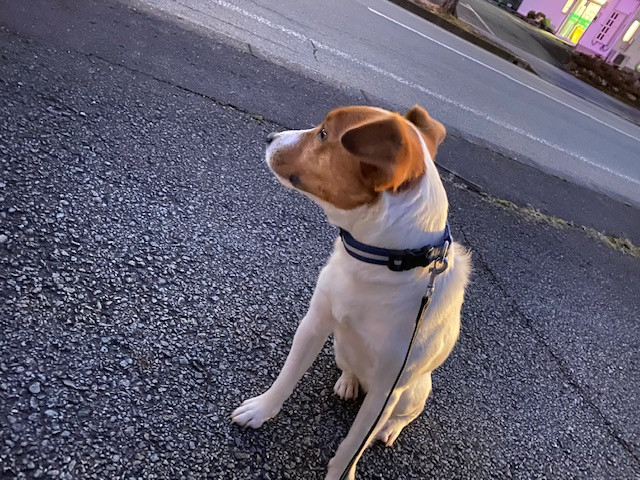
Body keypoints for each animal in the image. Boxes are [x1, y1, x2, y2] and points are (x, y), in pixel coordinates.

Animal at [231, 105, 471, 479]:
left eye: (323, 135)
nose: (270, 138)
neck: (382, 263)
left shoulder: (387, 391)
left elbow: (352, 446)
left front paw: (341, 472)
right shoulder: (314, 323)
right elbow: (286, 378)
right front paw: (260, 410)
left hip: (412, 392)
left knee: (401, 418)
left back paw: (390, 429)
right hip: (341, 350)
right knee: (350, 368)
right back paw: (348, 382)